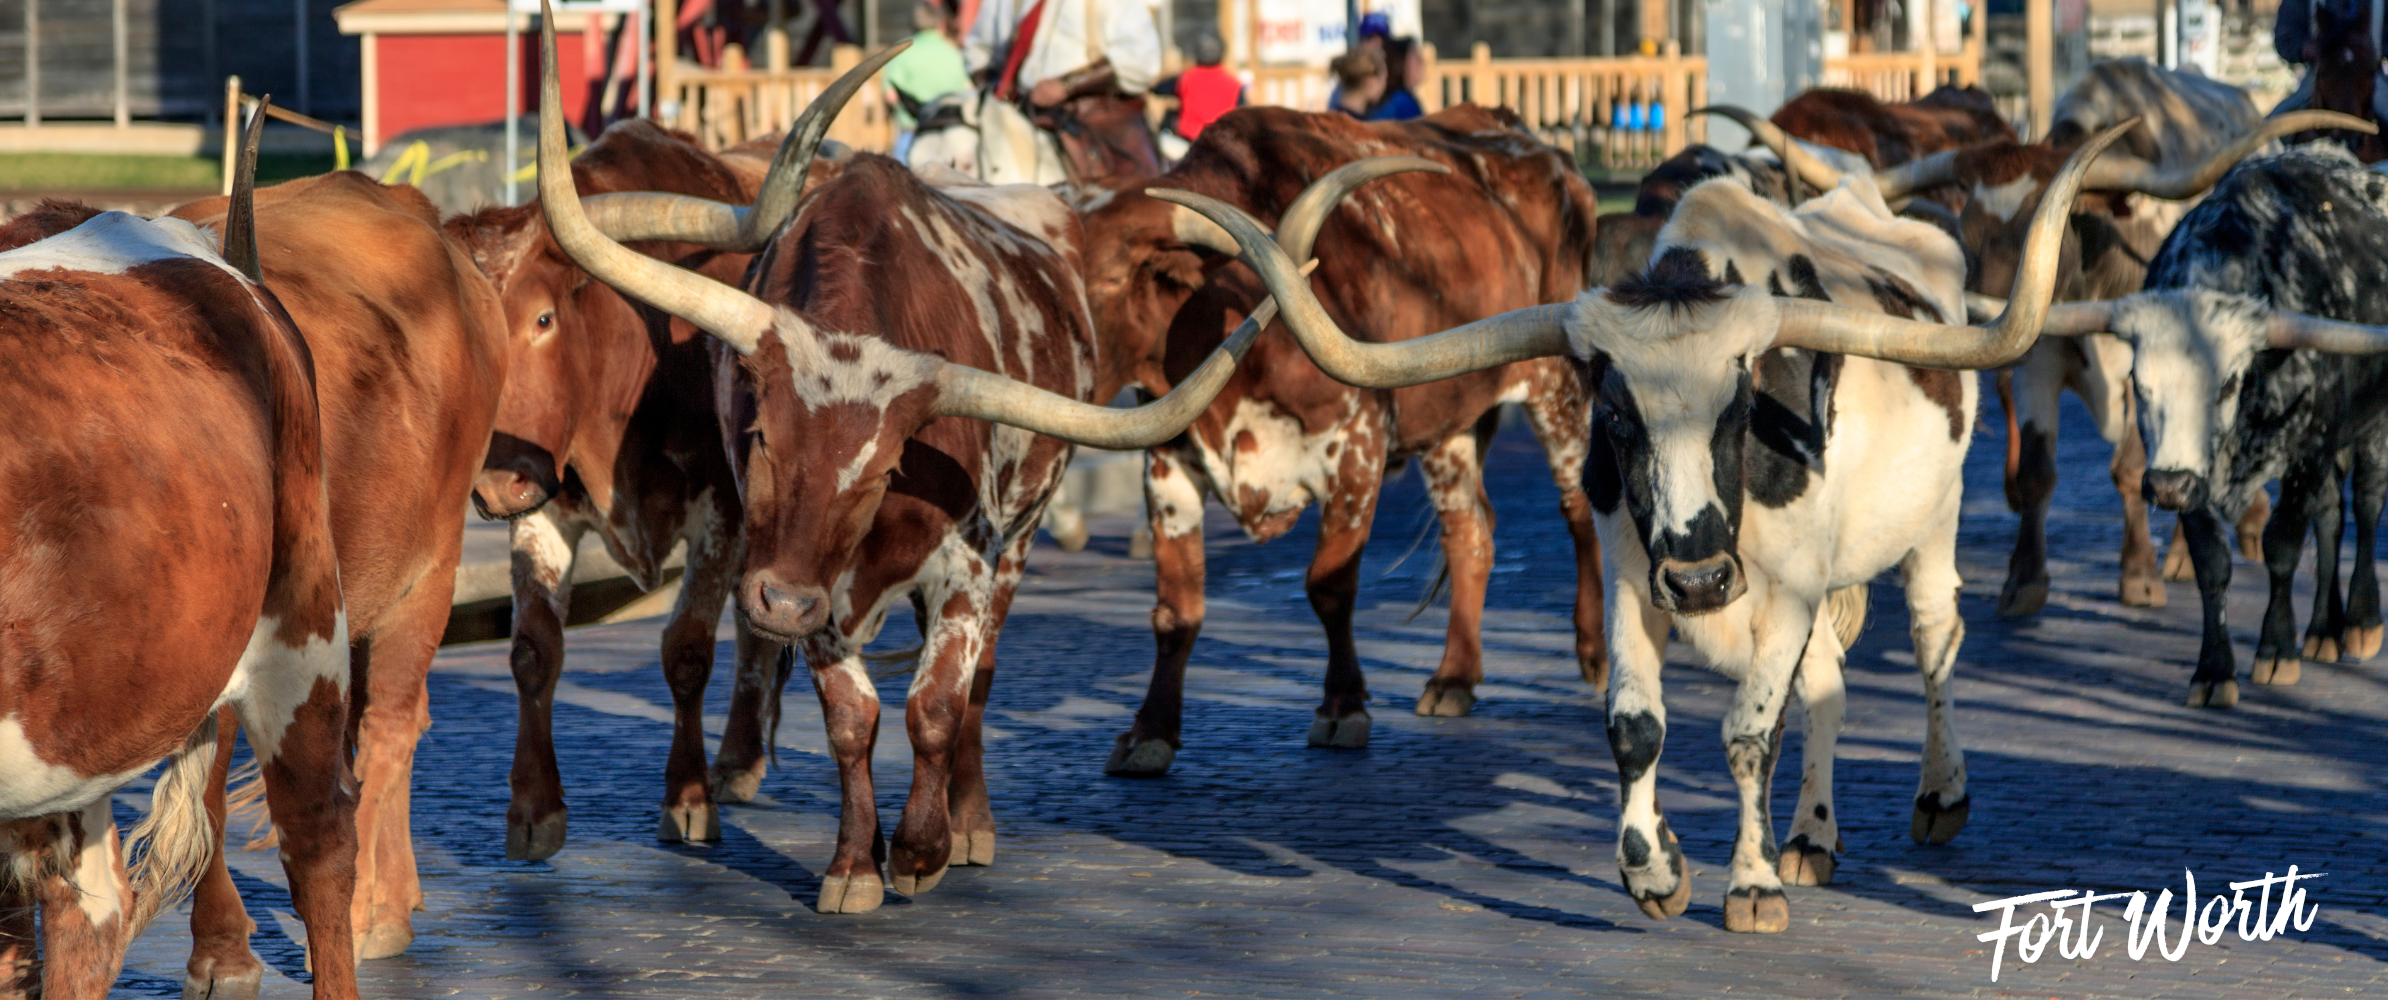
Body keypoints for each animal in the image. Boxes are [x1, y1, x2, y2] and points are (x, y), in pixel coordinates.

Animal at [445, 54, 893, 864]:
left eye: (543, 318)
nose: (493, 486)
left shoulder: (722, 511)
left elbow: (688, 650)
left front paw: (685, 801)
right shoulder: (546, 510)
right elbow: (533, 650)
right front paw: (533, 808)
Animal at [523, 9, 1364, 912]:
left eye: (886, 468)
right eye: (761, 438)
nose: (777, 605)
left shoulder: (967, 559)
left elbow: (936, 705)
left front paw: (923, 848)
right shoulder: (812, 577)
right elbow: (851, 720)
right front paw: (855, 863)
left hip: (1018, 540)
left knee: (979, 681)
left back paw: (969, 823)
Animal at [1064, 105, 1609, 778]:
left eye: (1111, 277)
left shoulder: (1357, 450)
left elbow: (1330, 586)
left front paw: (1342, 708)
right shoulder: (1168, 465)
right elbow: (1176, 611)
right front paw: (1150, 730)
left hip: (1557, 388)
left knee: (1578, 508)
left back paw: (1593, 652)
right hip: (1449, 425)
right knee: (1469, 534)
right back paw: (1454, 677)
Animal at [1175, 120, 2132, 931]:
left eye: (1740, 405)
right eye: (1616, 416)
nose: (1701, 578)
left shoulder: (1785, 591)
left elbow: (1750, 735)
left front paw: (1750, 886)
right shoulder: (1636, 580)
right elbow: (1637, 728)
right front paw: (1656, 870)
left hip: (1932, 522)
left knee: (1935, 638)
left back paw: (1939, 794)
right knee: (1828, 687)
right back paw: (1812, 837)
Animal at [2025, 144, 2386, 707]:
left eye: (2228, 382)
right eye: (2139, 382)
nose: (2166, 486)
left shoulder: (2307, 446)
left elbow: (2282, 547)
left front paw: (2276, 650)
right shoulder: (2190, 471)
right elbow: (2212, 561)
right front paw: (2215, 671)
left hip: (2368, 423)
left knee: (2368, 504)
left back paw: (2361, 623)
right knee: (2331, 515)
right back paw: (2323, 631)